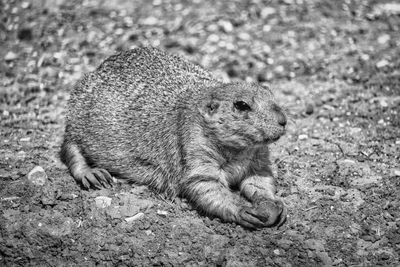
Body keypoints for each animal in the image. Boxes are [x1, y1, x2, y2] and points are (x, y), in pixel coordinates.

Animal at [61, 47, 288, 229]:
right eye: (241, 105)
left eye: (271, 94)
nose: (283, 120)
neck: (240, 150)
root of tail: (99, 67)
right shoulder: (193, 148)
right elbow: (205, 185)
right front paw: (244, 210)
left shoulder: (259, 157)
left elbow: (260, 179)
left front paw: (274, 205)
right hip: (76, 118)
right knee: (70, 148)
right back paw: (93, 174)